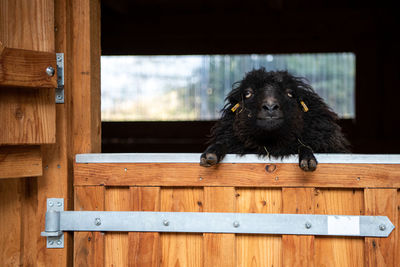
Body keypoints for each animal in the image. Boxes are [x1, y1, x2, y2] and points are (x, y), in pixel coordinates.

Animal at [200, 68, 350, 171]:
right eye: (248, 93)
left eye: (290, 93)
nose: (270, 107)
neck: (271, 144)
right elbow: (222, 143)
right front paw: (211, 153)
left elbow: (303, 145)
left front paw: (307, 159)